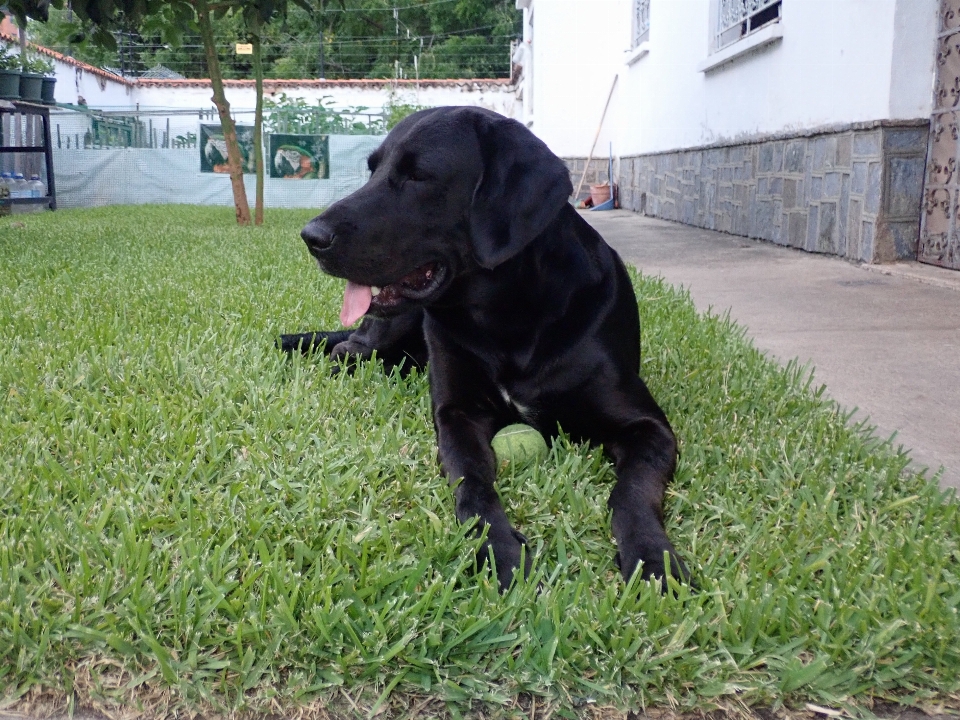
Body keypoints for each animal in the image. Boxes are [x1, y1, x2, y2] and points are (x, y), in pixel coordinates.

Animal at [284, 105, 688, 592]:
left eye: (418, 175)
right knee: (346, 350)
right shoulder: (457, 414)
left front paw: (652, 557)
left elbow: (632, 490)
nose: (311, 237)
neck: (509, 318)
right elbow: (472, 481)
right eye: (372, 169)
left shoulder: (648, 426)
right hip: (381, 335)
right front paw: (497, 548)